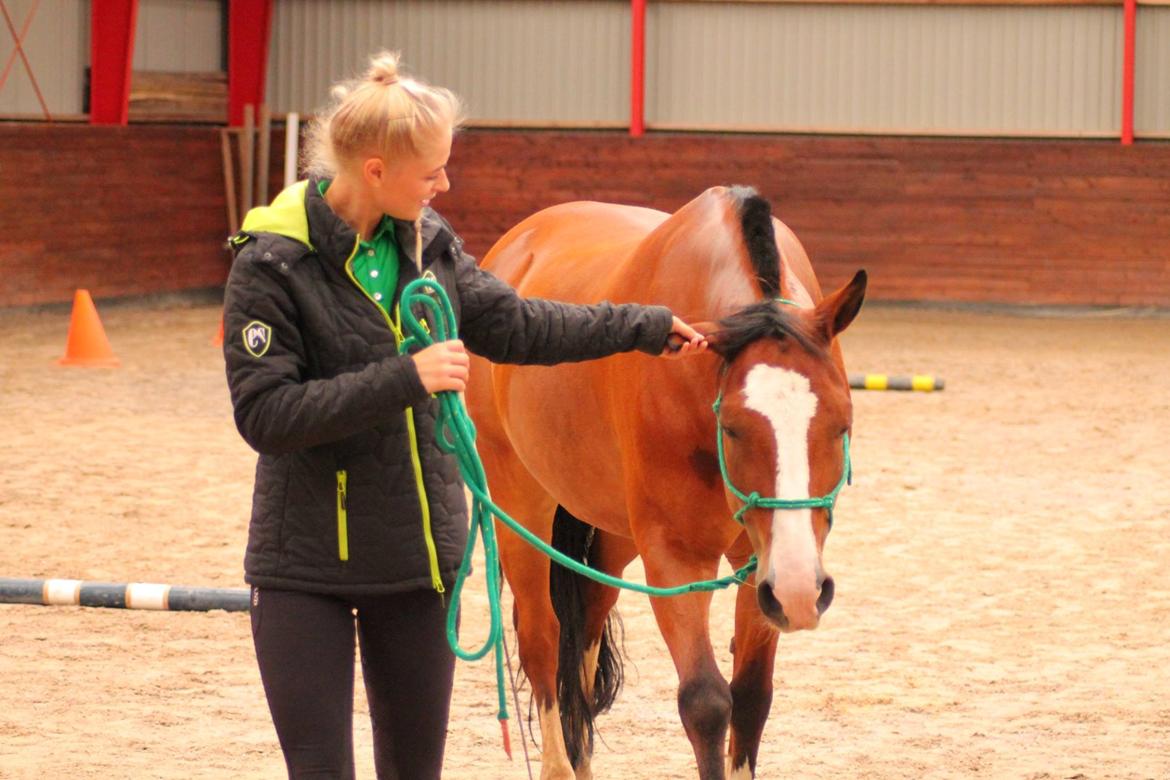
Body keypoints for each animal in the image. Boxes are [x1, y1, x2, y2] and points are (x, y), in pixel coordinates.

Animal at [460, 189, 865, 780]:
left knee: (584, 632)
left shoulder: (759, 563)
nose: (800, 590)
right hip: (522, 510)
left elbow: (751, 697)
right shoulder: (676, 560)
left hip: (613, 536)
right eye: (732, 427)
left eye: (841, 425)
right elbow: (706, 701)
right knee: (543, 639)